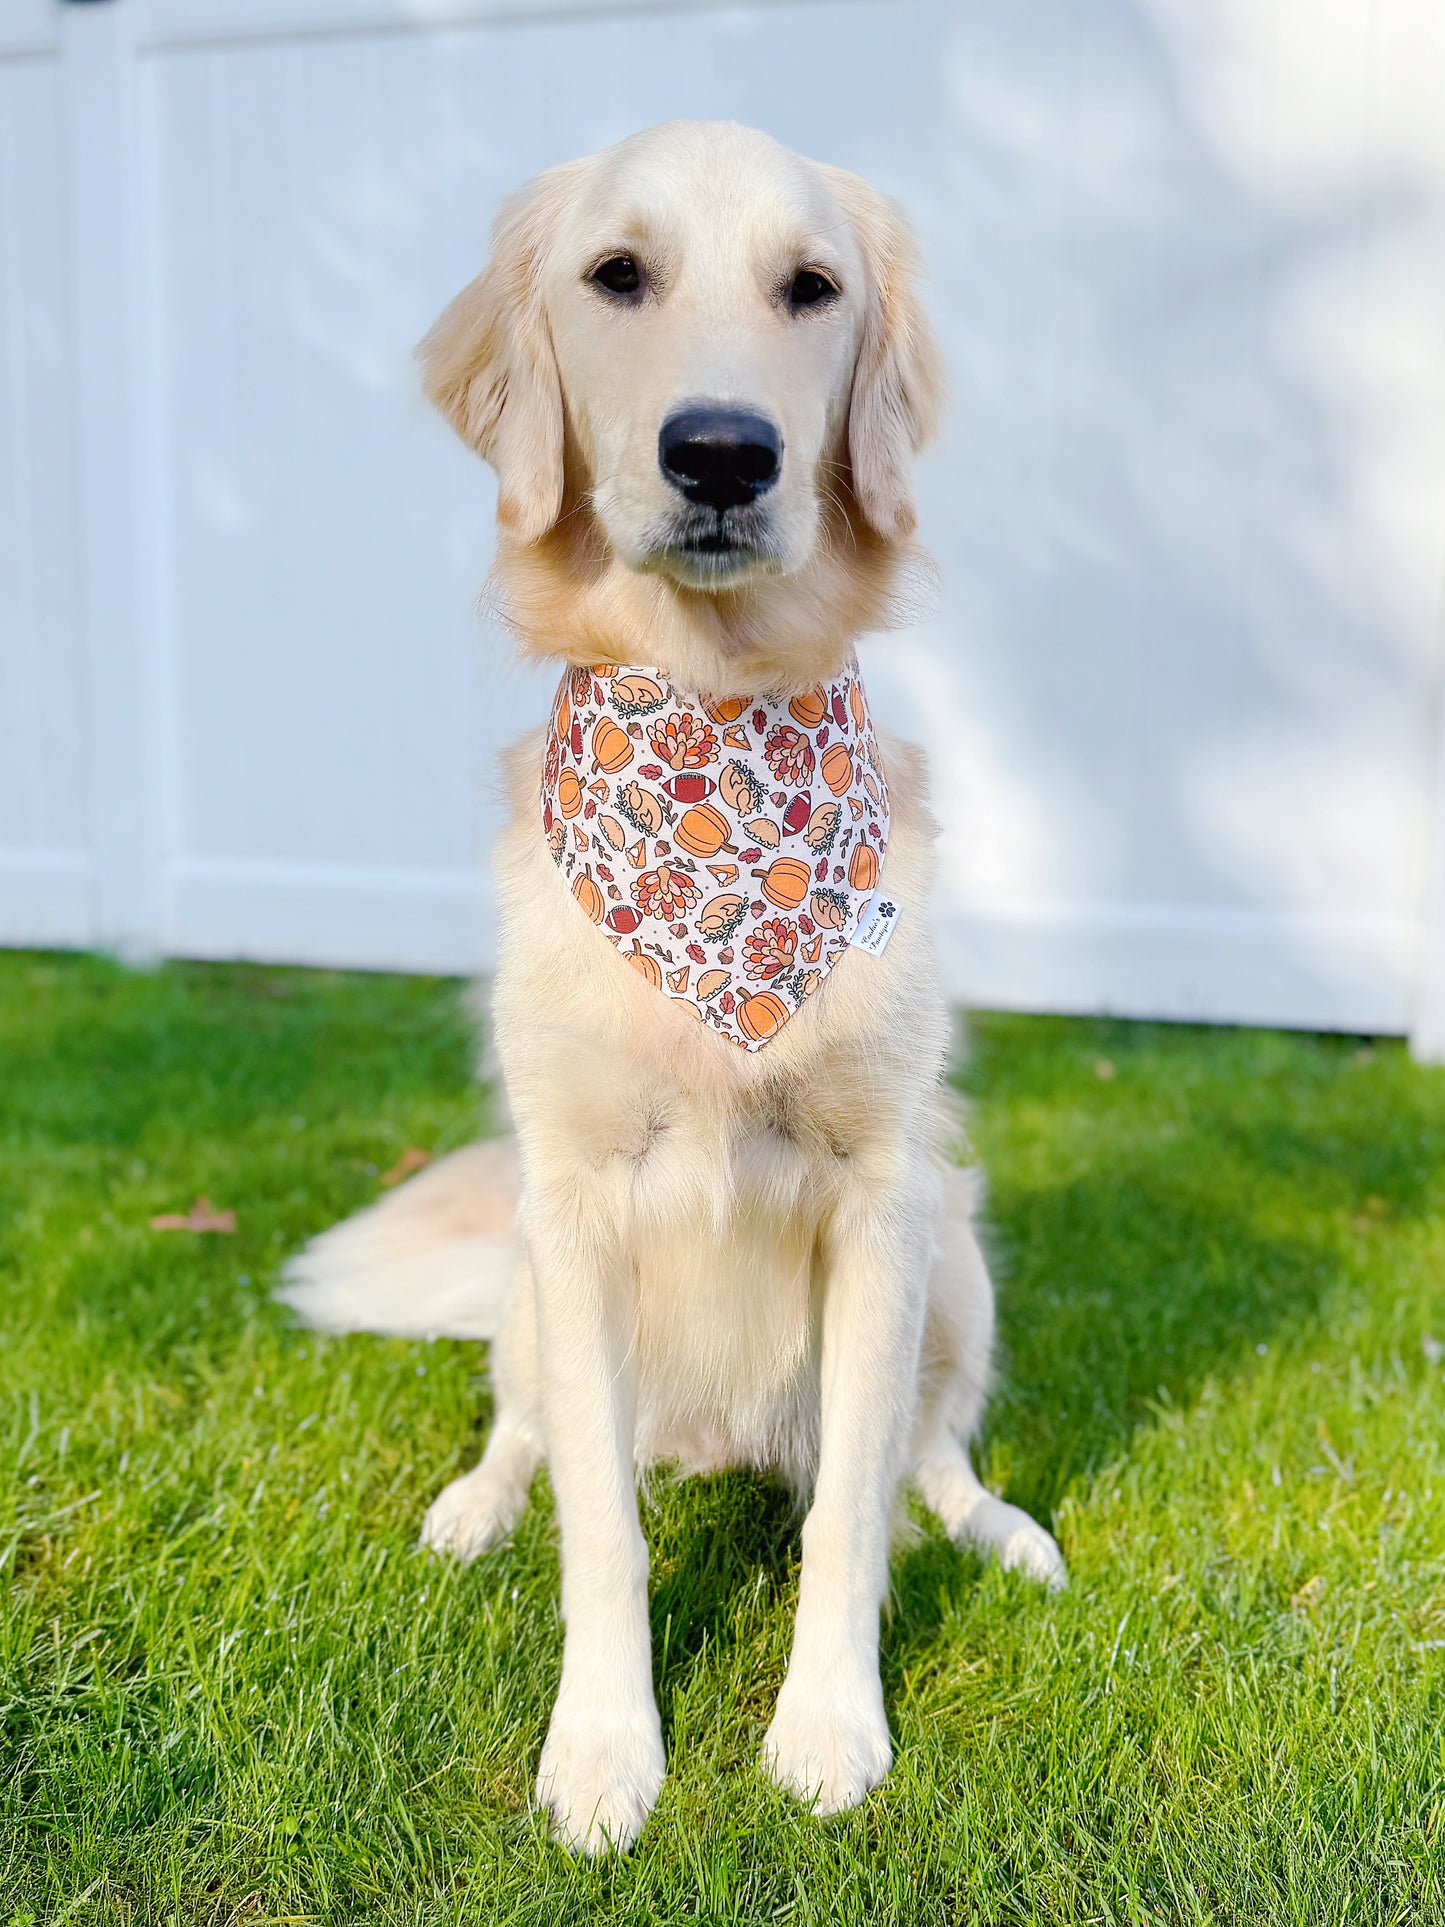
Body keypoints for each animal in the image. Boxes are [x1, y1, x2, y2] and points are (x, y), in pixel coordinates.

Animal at [285, 116, 1063, 1849]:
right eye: (616, 274)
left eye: (811, 286)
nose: (722, 454)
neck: (715, 727)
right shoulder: (575, 1204)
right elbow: (602, 1532)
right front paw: (600, 1751)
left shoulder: (880, 1192)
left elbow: (848, 1514)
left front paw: (828, 1725)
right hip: (523, 1273)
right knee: (528, 1431)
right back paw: (472, 1505)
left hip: (959, 1247)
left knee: (928, 1454)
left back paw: (1000, 1527)